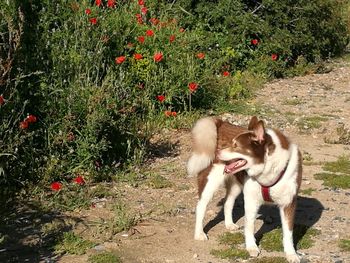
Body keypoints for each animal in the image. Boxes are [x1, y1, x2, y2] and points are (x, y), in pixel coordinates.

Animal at [187, 116, 302, 263]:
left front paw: (291, 254)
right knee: (201, 206)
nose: (217, 151)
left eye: (236, 145)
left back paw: (229, 224)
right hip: (211, 182)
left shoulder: (288, 202)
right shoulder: (251, 200)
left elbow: (288, 233)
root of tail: (220, 122)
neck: (268, 169)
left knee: (228, 202)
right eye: (232, 143)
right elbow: (249, 226)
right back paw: (199, 233)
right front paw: (252, 247)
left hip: (236, 185)